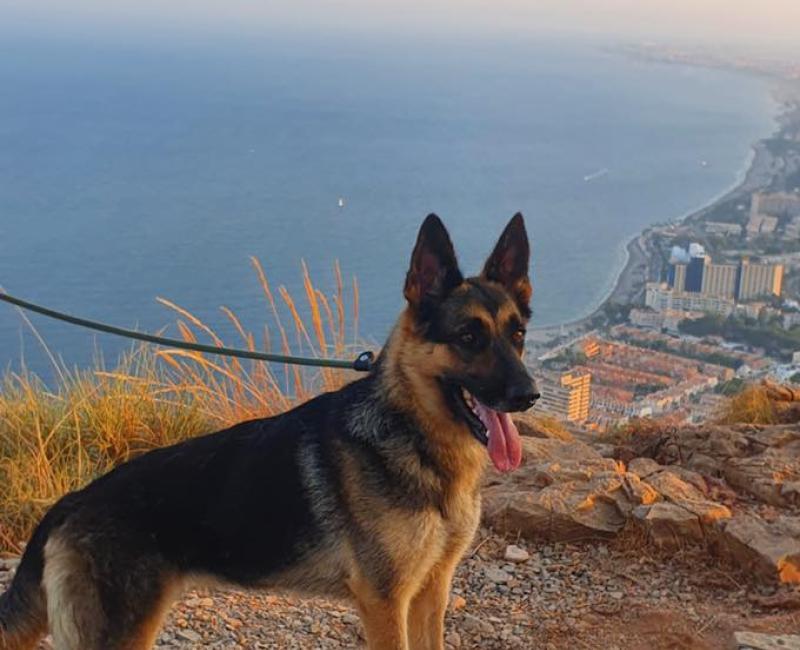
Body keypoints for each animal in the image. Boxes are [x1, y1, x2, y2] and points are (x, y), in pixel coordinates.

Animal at [0, 213, 539, 650]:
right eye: (467, 337)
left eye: (517, 335)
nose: (529, 395)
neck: (414, 439)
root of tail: (68, 503)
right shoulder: (385, 604)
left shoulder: (431, 592)